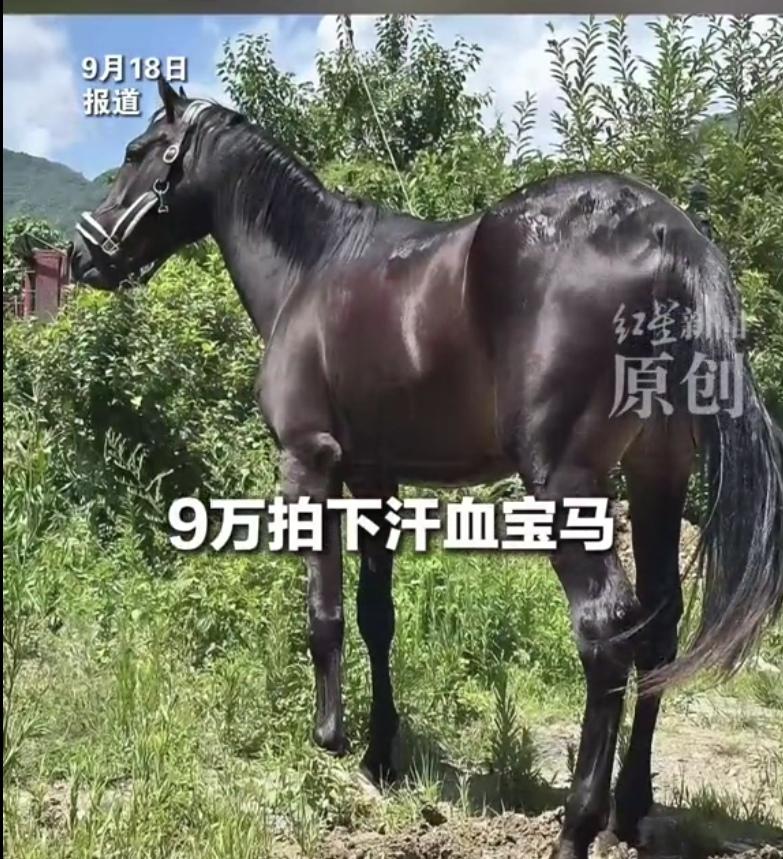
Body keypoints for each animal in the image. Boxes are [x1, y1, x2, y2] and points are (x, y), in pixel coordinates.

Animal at [69, 77, 783, 859]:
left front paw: (329, 737)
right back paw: (630, 807)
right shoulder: (375, 477)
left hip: (565, 483)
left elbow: (324, 611)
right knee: (657, 626)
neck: (310, 268)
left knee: (604, 632)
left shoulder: (309, 462)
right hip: (659, 472)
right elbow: (376, 614)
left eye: (137, 152)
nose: (81, 255)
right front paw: (380, 752)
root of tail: (665, 231)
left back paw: (577, 825)